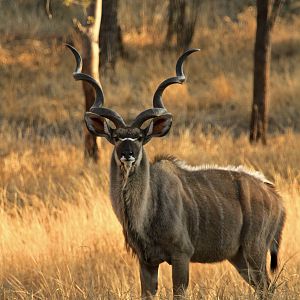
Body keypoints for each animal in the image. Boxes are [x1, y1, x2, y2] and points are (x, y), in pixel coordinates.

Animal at [68, 44, 286, 298]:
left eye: (140, 137)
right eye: (116, 137)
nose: (127, 154)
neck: (147, 210)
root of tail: (276, 198)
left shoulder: (181, 255)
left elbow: (179, 292)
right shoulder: (147, 261)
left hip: (254, 250)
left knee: (268, 286)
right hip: (240, 257)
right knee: (264, 288)